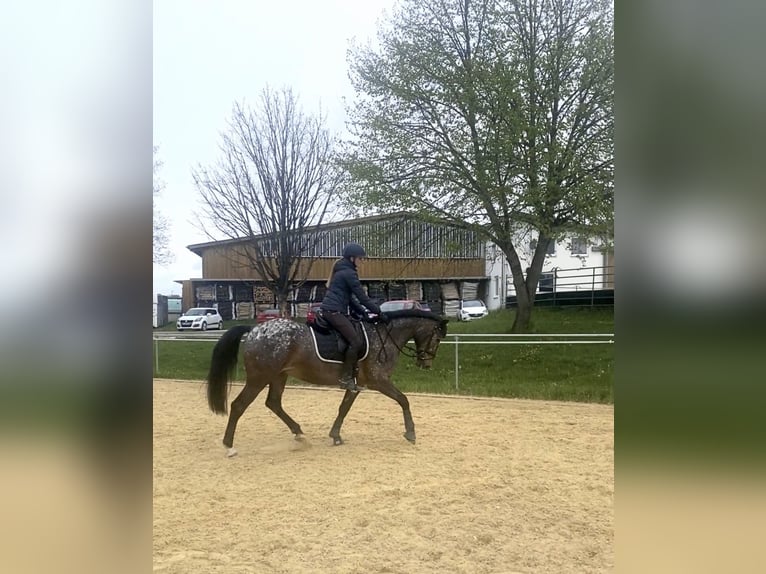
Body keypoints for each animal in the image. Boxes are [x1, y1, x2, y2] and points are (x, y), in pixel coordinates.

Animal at [205, 309, 448, 456]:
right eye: (437, 338)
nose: (425, 363)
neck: (383, 336)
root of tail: (255, 330)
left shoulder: (356, 385)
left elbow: (344, 408)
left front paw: (336, 436)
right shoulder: (379, 381)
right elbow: (403, 400)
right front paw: (410, 433)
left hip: (279, 376)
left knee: (273, 403)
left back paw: (299, 434)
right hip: (259, 378)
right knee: (239, 405)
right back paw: (229, 446)